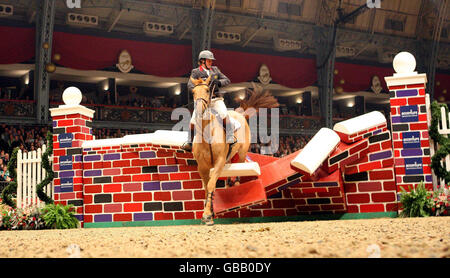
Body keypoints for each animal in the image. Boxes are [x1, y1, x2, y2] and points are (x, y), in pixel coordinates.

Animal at [189, 76, 278, 226]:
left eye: (207, 90)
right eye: (193, 92)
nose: (200, 110)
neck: (208, 133)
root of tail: (241, 114)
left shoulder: (219, 162)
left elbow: (211, 185)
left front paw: (207, 215)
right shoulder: (202, 166)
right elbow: (207, 187)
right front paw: (209, 214)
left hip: (241, 154)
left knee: (237, 174)